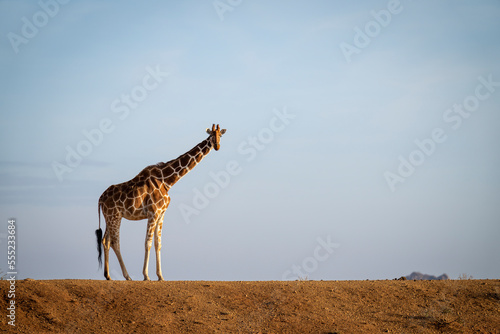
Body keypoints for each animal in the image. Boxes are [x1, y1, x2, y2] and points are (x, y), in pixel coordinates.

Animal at [94, 124, 227, 280]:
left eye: (220, 135)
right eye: (211, 135)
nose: (217, 146)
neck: (167, 181)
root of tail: (100, 199)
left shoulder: (161, 213)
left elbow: (158, 244)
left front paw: (160, 276)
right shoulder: (153, 213)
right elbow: (148, 242)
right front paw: (146, 276)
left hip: (110, 217)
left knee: (105, 241)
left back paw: (108, 275)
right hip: (114, 216)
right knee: (115, 242)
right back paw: (127, 276)